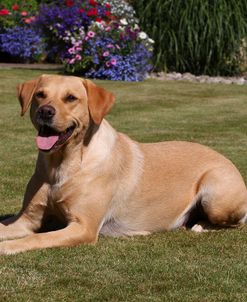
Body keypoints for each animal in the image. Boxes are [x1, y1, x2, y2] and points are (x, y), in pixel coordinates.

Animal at [0, 74, 246, 254]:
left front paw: (8, 247)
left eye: (71, 98)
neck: (62, 165)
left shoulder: (83, 227)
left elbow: (36, 239)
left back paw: (199, 225)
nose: (45, 111)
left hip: (215, 194)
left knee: (236, 222)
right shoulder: (27, 219)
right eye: (40, 95)